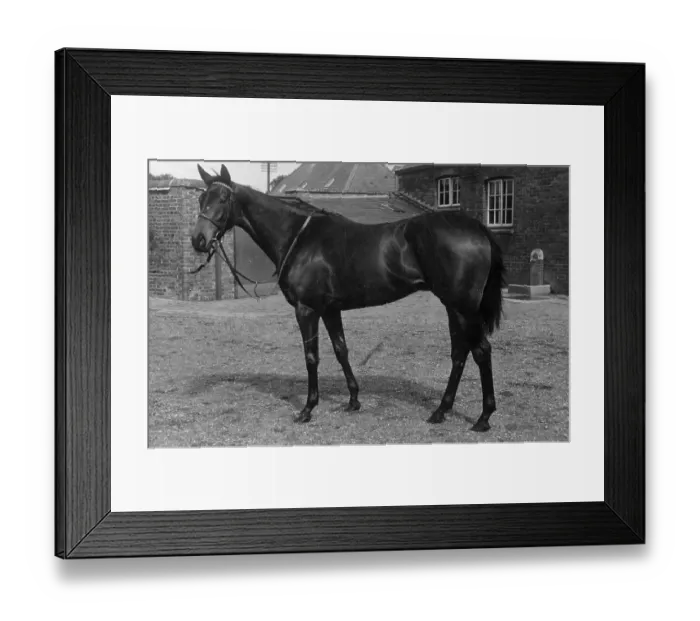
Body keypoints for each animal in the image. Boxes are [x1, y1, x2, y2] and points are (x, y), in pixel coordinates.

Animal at [191, 164, 505, 432]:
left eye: (222, 198)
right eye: (201, 199)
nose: (198, 240)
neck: (299, 238)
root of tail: (477, 228)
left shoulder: (306, 310)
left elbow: (312, 356)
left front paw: (307, 409)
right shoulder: (330, 310)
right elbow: (341, 350)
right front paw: (353, 400)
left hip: (464, 308)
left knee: (481, 351)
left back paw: (483, 417)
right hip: (452, 306)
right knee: (460, 353)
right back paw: (441, 411)